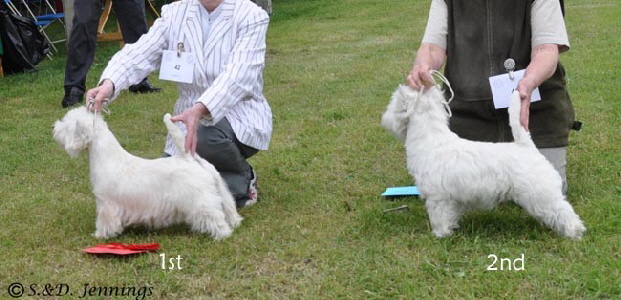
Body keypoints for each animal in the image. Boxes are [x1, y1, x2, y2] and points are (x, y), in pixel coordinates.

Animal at [53, 106, 242, 240]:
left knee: (215, 217)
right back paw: (235, 222)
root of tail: (189, 158)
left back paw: (222, 235)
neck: (107, 157)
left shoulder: (106, 203)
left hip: (201, 200)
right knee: (228, 207)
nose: (54, 127)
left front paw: (100, 235)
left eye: (67, 124)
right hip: (218, 191)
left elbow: (105, 222)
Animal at [380, 75, 584, 239]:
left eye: (392, 102)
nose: (384, 119)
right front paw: (452, 228)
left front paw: (440, 234)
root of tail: (526, 146)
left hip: (539, 193)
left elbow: (440, 216)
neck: (431, 138)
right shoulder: (451, 198)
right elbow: (451, 214)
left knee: (562, 211)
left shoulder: (438, 197)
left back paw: (575, 233)